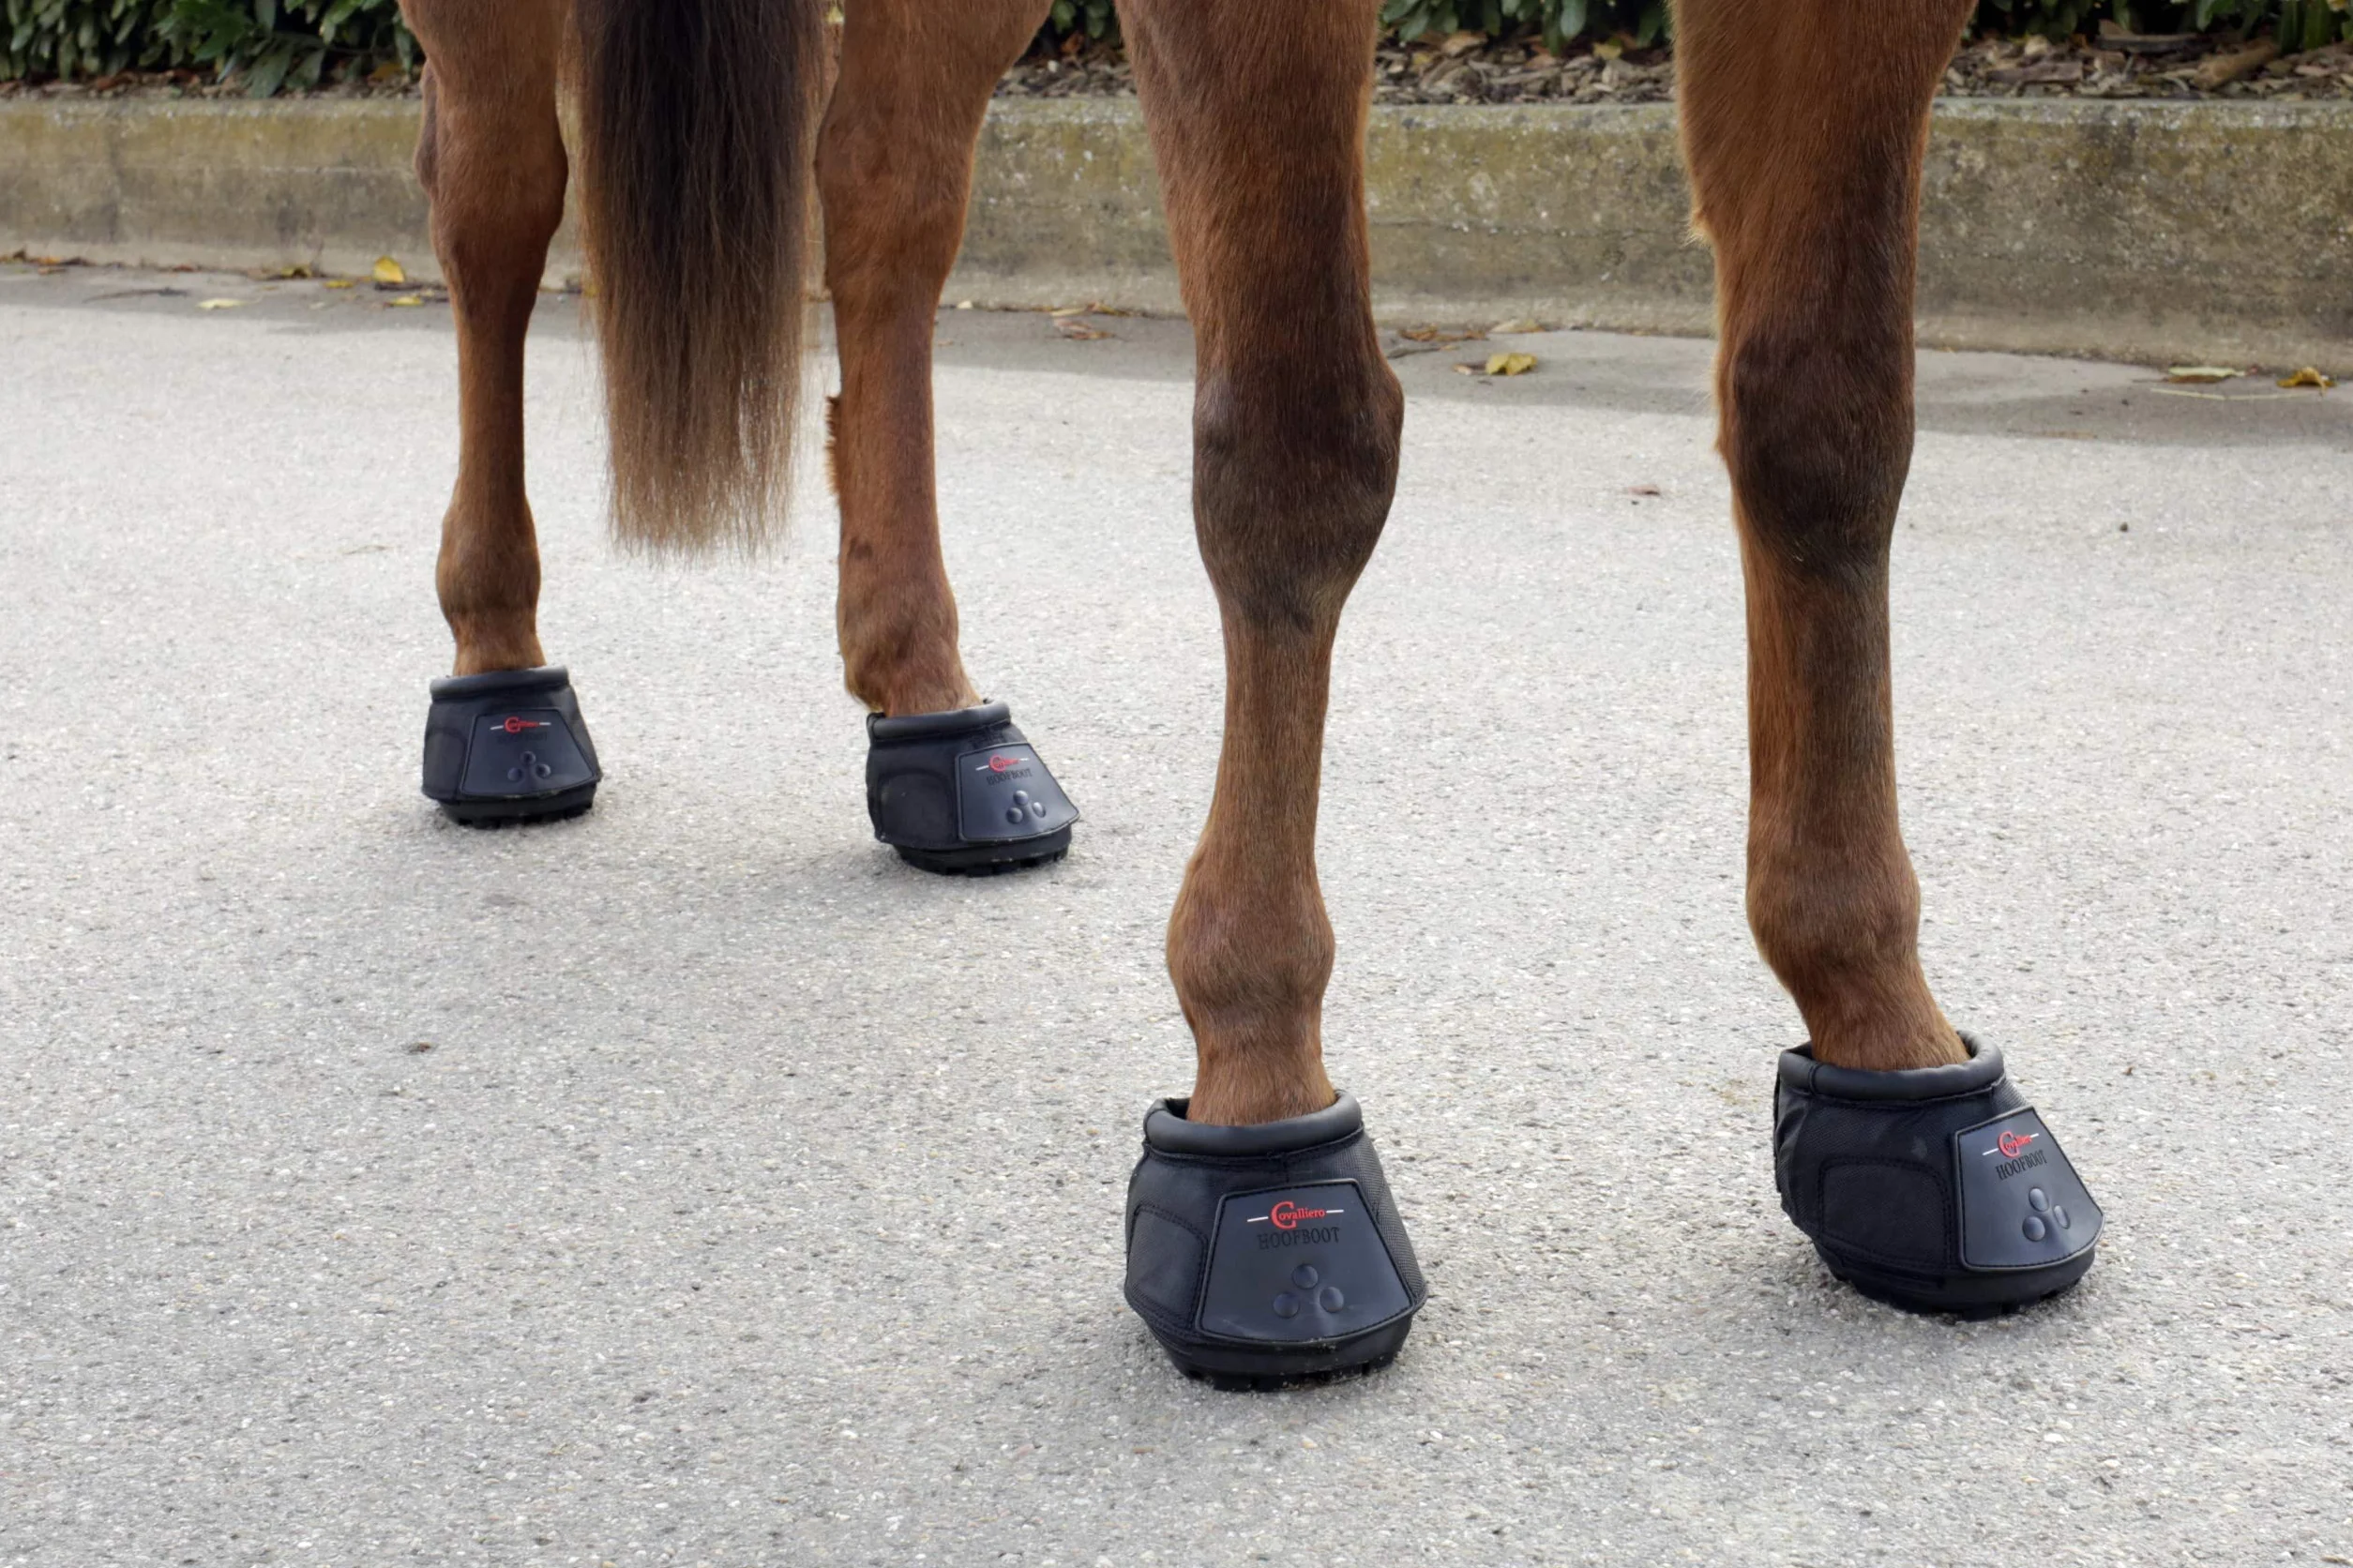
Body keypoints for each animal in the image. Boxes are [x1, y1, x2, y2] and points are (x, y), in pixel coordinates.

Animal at [393, 0, 2103, 1385]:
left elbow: (1826, 415)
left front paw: (1885, 1037)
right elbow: (1299, 435)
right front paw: (1258, 1085)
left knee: (884, 190)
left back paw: (932, 705)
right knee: (494, 194)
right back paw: (498, 682)